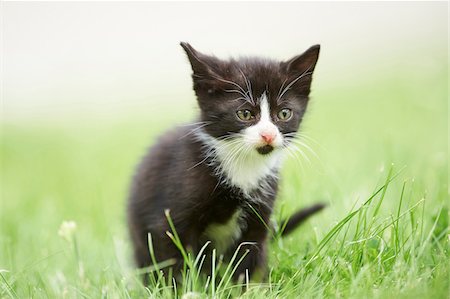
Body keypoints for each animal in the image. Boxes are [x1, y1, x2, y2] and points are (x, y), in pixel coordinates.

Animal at [126, 41, 324, 282]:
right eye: (245, 114)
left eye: (284, 113)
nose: (268, 135)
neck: (244, 166)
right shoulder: (169, 218)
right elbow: (172, 262)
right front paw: (182, 287)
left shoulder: (259, 217)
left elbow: (250, 260)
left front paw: (251, 287)